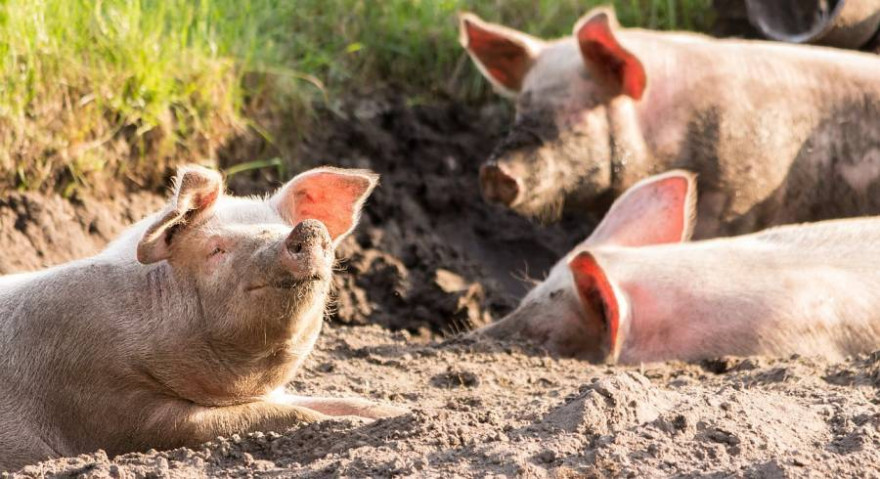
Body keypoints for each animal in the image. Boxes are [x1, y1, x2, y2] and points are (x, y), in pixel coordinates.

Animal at [0, 165, 404, 472]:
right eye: (216, 249)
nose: (308, 227)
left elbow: (335, 401)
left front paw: (396, 413)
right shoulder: (109, 406)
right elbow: (271, 416)